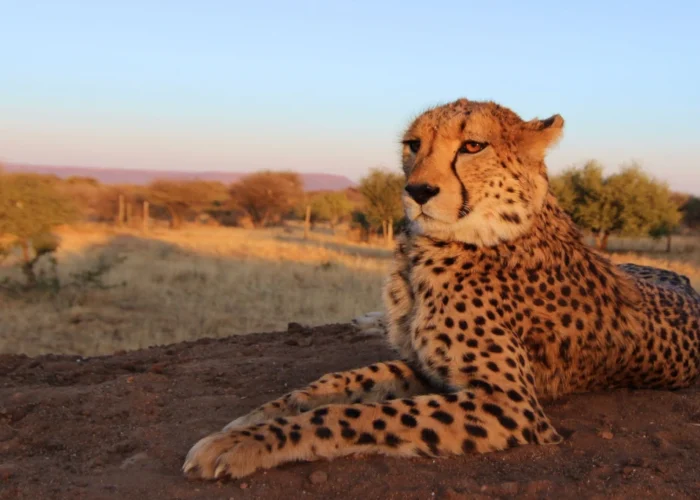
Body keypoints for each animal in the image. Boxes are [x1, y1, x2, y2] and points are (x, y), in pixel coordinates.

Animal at [183, 97, 700, 480]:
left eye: (472, 145)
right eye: (413, 144)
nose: (417, 191)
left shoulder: (508, 403)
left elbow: (355, 416)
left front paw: (244, 443)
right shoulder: (426, 367)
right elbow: (339, 383)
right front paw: (254, 418)